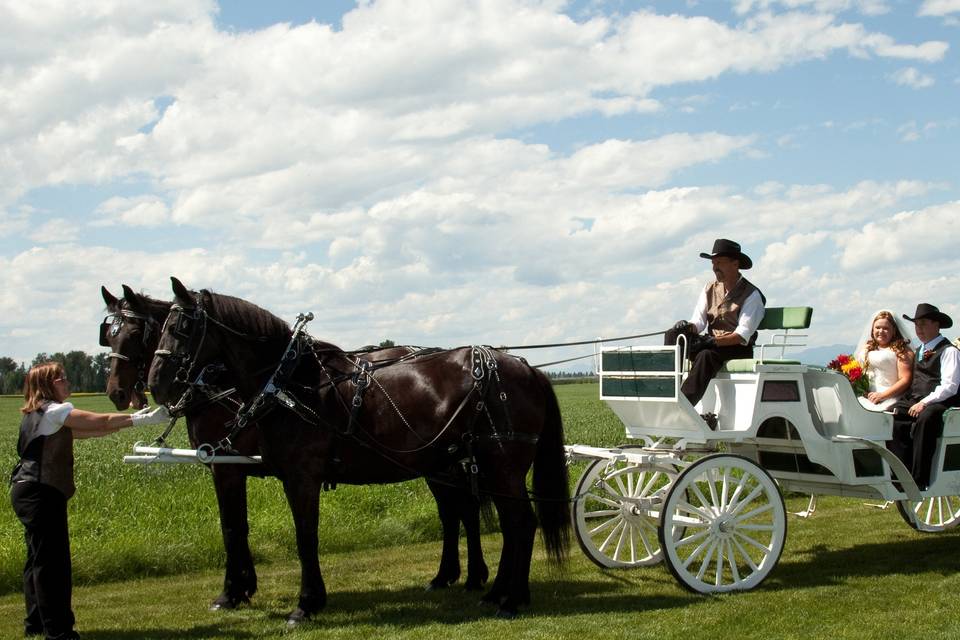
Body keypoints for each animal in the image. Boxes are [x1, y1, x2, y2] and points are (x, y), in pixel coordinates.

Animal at [101, 284, 492, 608]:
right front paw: (242, 588)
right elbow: (236, 527)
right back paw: (452, 577)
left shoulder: (239, 468)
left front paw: (240, 593)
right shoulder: (233, 466)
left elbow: (251, 530)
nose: (122, 392)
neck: (285, 383)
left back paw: (469, 576)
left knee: (462, 511)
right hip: (438, 463)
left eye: (179, 328)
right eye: (109, 336)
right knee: (456, 512)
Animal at [145, 278, 568, 624]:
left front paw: (305, 604)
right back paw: (498, 593)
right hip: (486, 466)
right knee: (504, 523)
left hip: (501, 465)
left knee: (519, 523)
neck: (293, 385)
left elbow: (304, 537)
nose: (156, 383)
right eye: (160, 328)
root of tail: (526, 367)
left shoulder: (299, 477)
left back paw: (512, 599)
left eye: (181, 327)